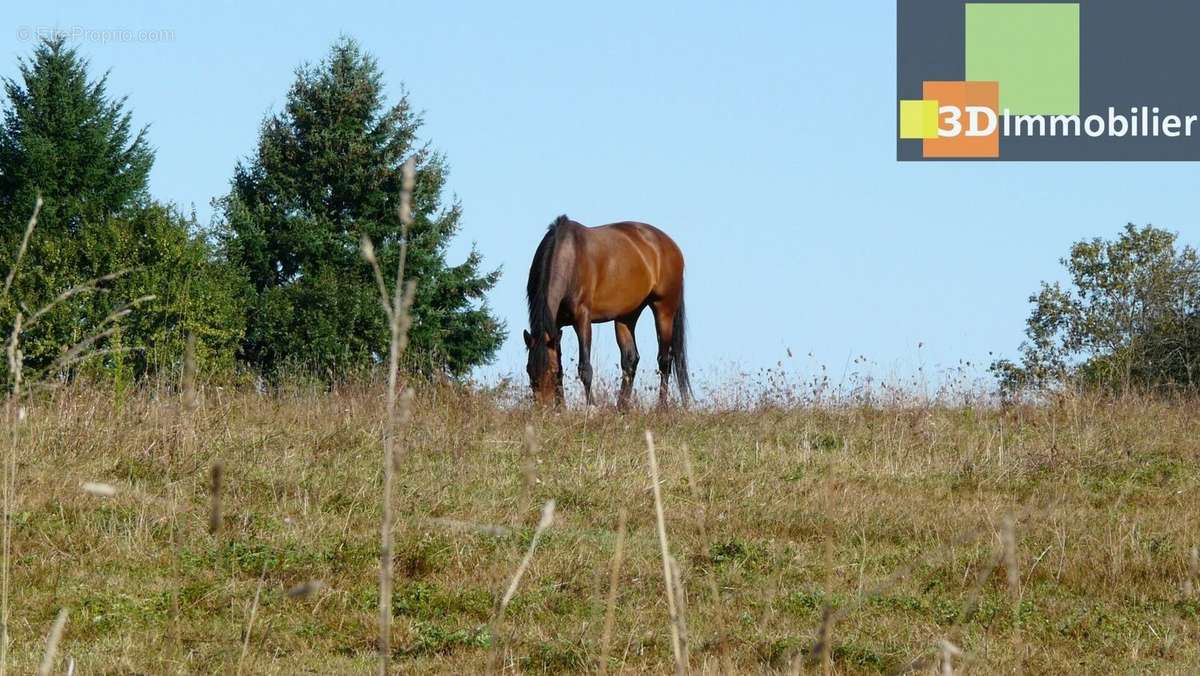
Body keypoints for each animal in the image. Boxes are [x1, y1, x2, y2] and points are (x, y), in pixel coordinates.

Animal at [520, 213, 691, 410]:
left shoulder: (582, 319)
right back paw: (621, 408)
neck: (569, 257)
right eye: (529, 370)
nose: (543, 408)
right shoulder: (555, 326)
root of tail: (670, 244)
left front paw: (591, 407)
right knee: (630, 360)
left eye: (550, 370)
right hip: (626, 316)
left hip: (664, 310)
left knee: (664, 360)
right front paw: (562, 409)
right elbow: (562, 366)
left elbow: (584, 368)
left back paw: (661, 407)